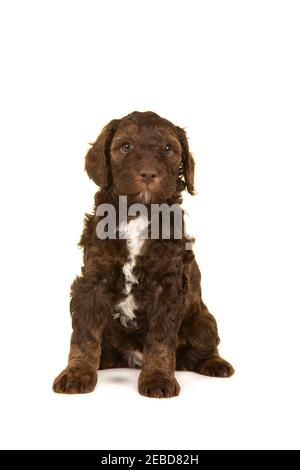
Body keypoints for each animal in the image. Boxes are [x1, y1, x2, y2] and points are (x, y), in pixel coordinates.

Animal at [52, 112, 233, 398]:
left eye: (168, 149)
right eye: (126, 146)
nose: (148, 173)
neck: (138, 213)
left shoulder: (167, 286)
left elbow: (160, 338)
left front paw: (158, 378)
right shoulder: (92, 280)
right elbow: (84, 334)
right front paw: (77, 373)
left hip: (204, 321)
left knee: (202, 348)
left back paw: (215, 364)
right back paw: (103, 361)